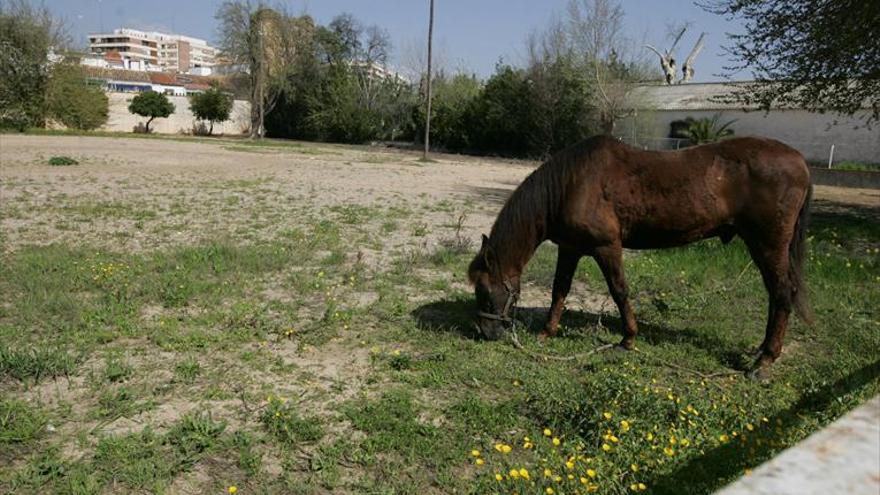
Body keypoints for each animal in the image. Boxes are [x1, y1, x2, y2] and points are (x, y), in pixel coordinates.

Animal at [468, 136, 812, 376]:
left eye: (484, 291)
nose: (485, 332)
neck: (571, 184)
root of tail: (800, 162)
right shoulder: (570, 248)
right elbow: (559, 291)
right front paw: (546, 332)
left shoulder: (607, 247)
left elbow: (619, 291)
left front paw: (628, 339)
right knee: (776, 294)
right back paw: (763, 350)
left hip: (767, 244)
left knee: (782, 293)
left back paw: (765, 360)